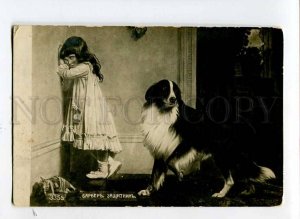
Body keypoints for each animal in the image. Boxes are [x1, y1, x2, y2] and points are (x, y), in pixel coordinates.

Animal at [137, 79, 276, 198]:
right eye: (164, 89)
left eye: (175, 91)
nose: (173, 99)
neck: (164, 114)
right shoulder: (159, 150)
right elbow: (155, 174)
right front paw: (148, 190)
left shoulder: (188, 143)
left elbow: (170, 161)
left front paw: (180, 174)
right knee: (244, 172)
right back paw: (248, 191)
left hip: (222, 154)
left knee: (231, 179)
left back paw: (221, 194)